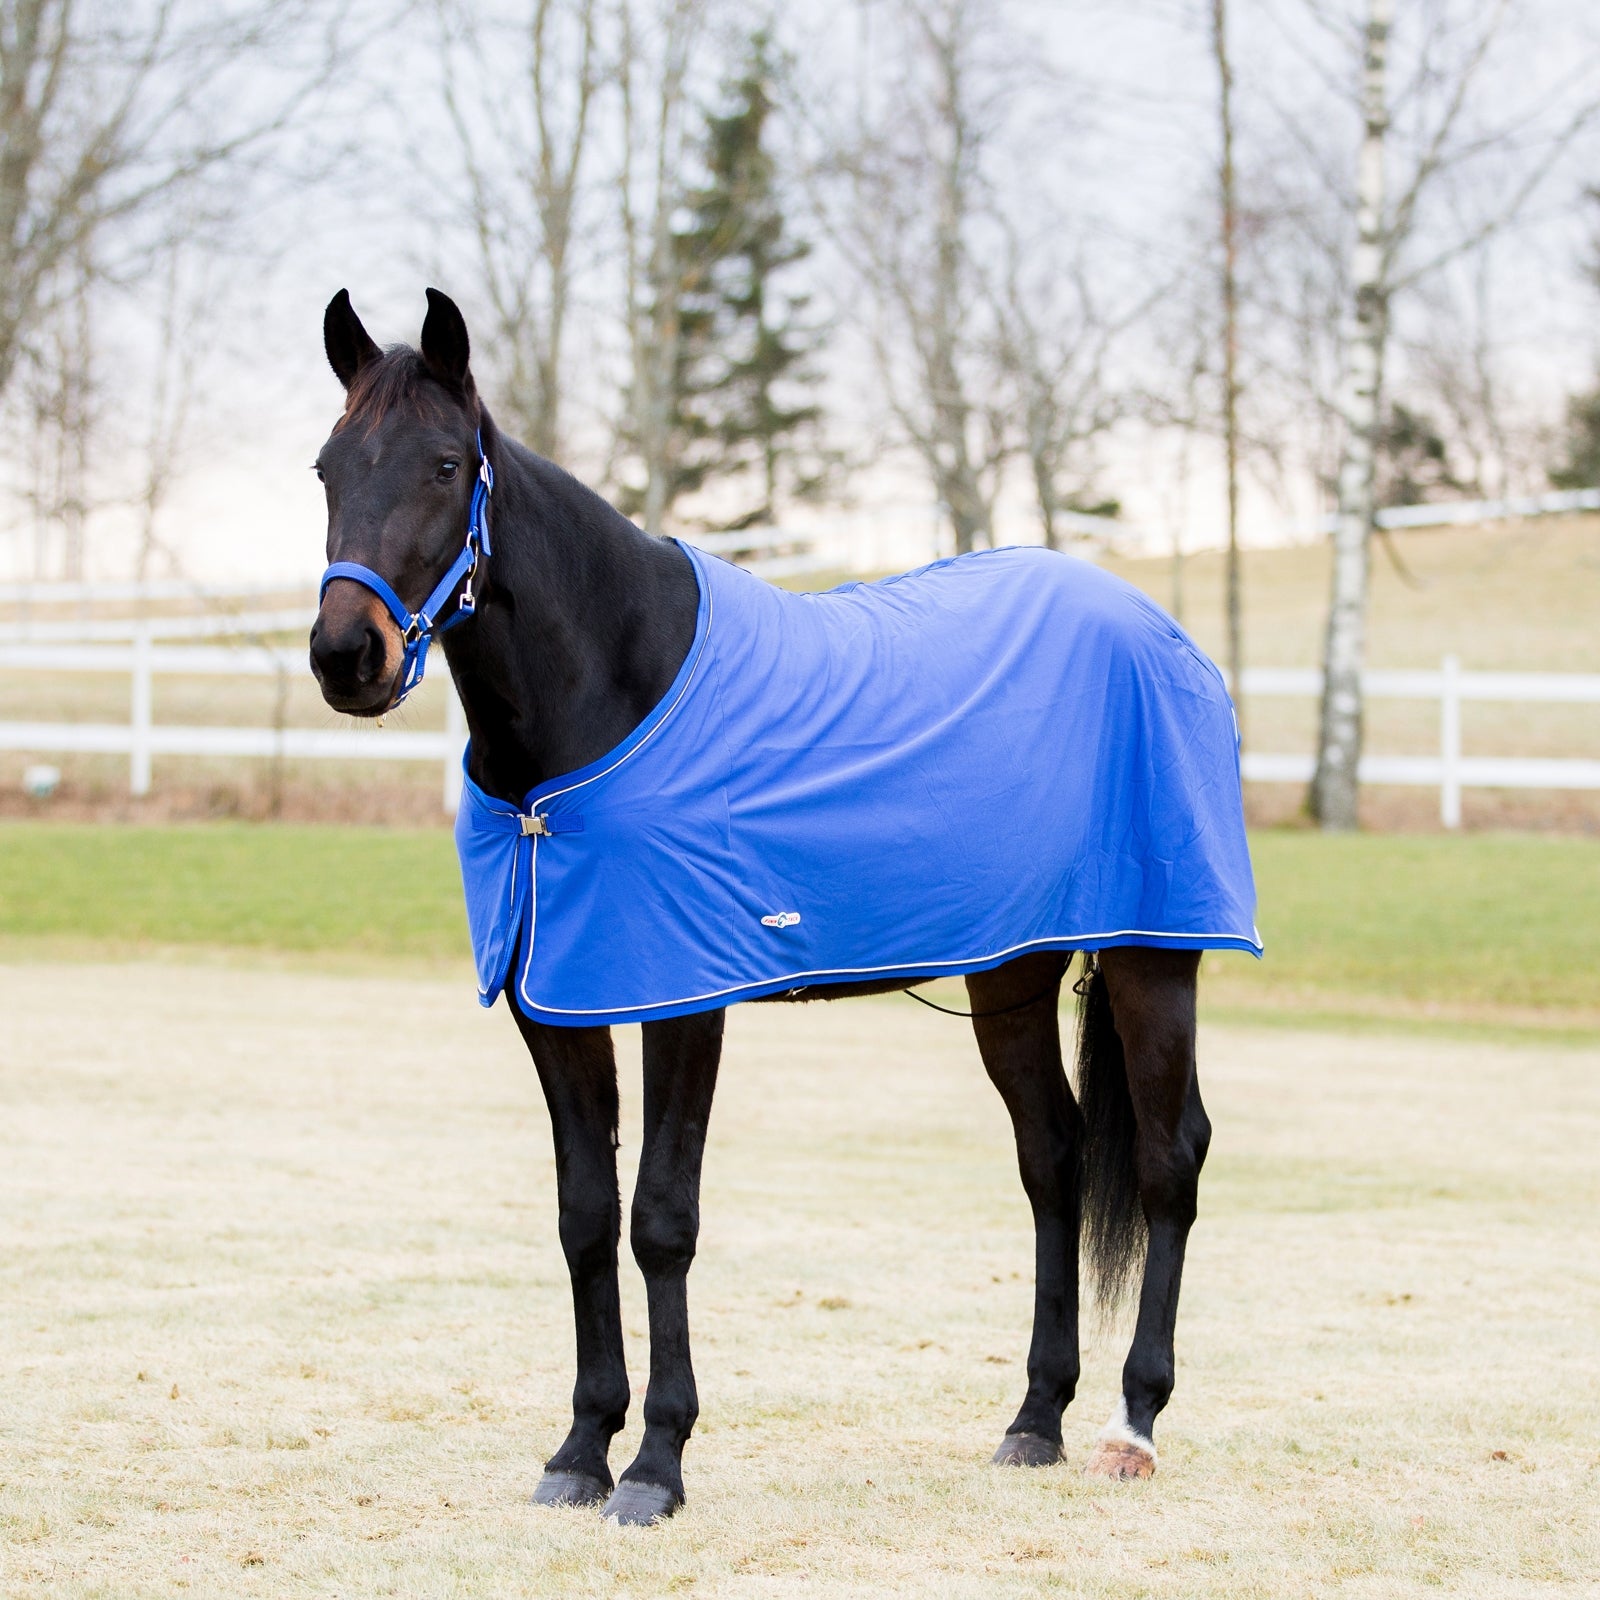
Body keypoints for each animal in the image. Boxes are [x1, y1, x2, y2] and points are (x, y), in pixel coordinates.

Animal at [308, 288, 1258, 1526]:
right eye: (326, 468)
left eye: (442, 463)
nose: (345, 655)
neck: (610, 692)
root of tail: (1157, 629)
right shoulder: (555, 1004)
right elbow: (583, 1216)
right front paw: (581, 1448)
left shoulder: (681, 998)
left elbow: (661, 1218)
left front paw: (654, 1466)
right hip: (1007, 971)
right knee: (1049, 1156)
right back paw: (1034, 1418)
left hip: (1154, 955)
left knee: (1166, 1161)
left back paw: (1130, 1424)